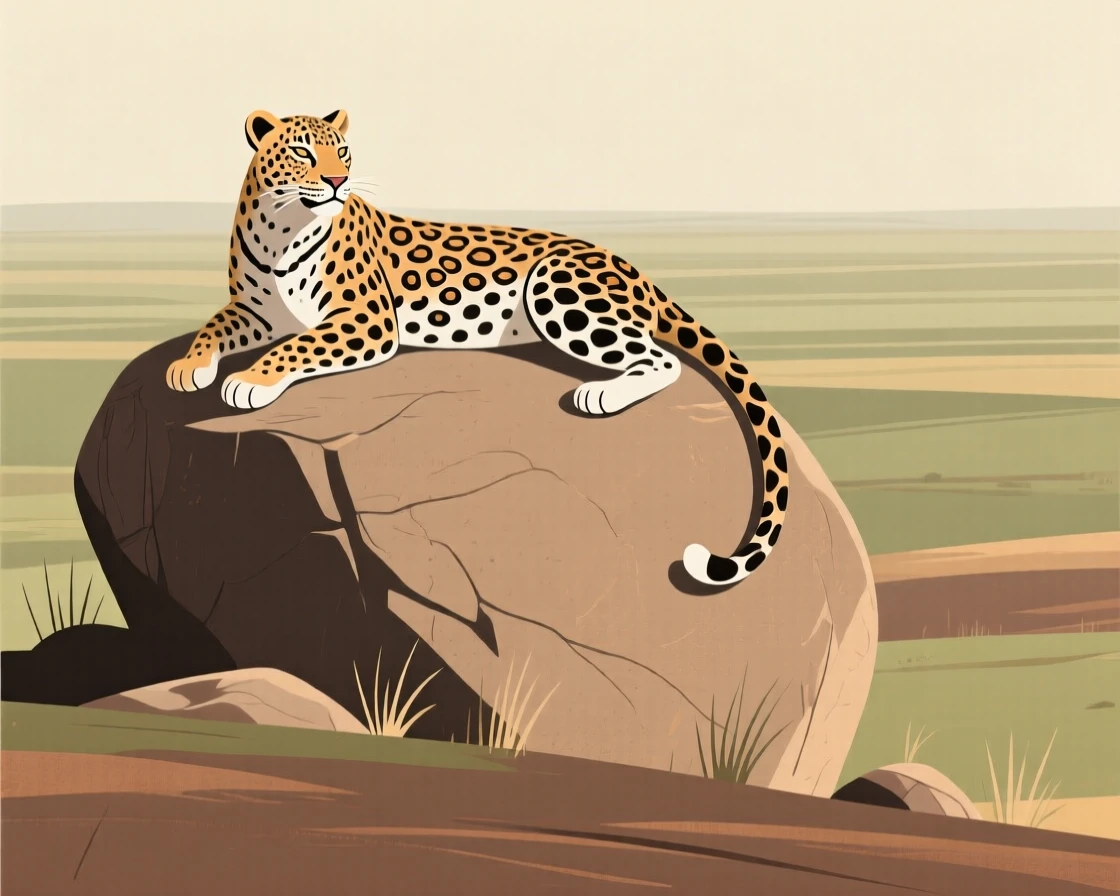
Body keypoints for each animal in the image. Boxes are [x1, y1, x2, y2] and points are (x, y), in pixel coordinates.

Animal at [167, 109, 791, 587]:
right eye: (301, 151)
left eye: (342, 151)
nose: (340, 182)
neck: (282, 227)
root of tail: (632, 267)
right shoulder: (254, 312)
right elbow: (214, 327)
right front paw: (186, 367)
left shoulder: (368, 320)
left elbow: (299, 345)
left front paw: (250, 380)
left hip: (556, 285)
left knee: (662, 360)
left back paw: (599, 395)